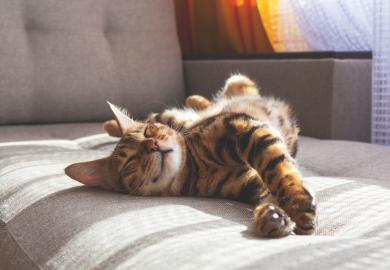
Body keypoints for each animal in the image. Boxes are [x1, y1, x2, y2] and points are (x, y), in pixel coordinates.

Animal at [65, 74, 316, 238]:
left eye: (148, 133)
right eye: (129, 162)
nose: (152, 144)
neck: (196, 167)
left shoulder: (242, 125)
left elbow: (278, 169)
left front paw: (298, 205)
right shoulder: (252, 184)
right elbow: (271, 189)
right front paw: (273, 217)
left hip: (193, 108)